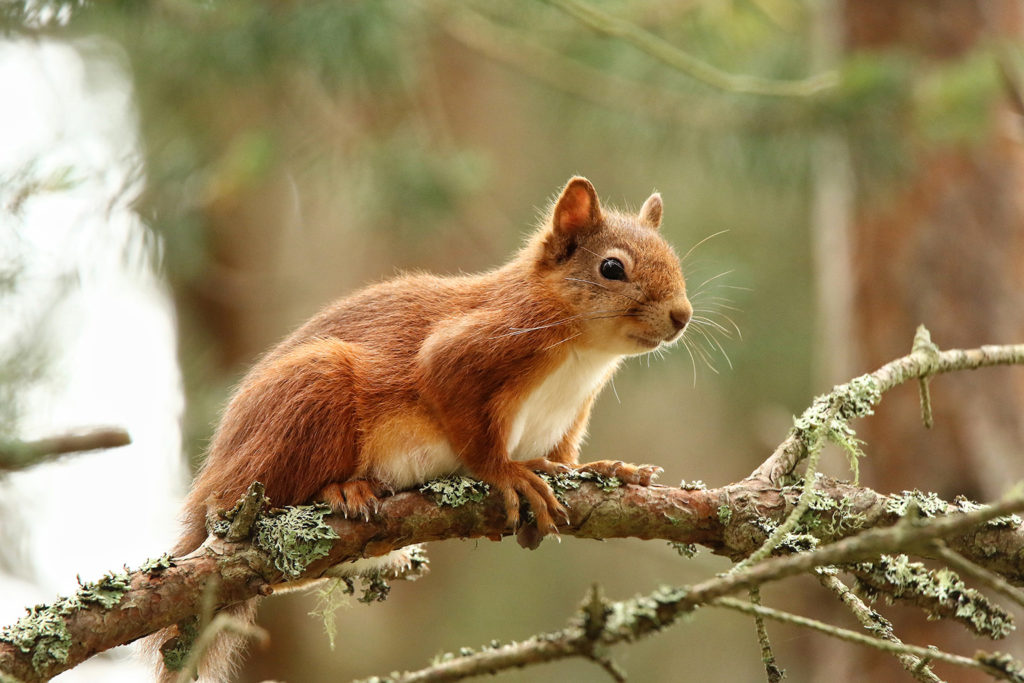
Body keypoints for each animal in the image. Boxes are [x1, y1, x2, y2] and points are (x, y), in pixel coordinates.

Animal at [155, 179, 692, 679]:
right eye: (612, 268)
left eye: (674, 258)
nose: (682, 316)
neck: (582, 357)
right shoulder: (469, 351)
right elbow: (471, 431)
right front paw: (507, 472)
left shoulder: (567, 418)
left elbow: (567, 462)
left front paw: (613, 469)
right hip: (311, 393)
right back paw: (342, 490)